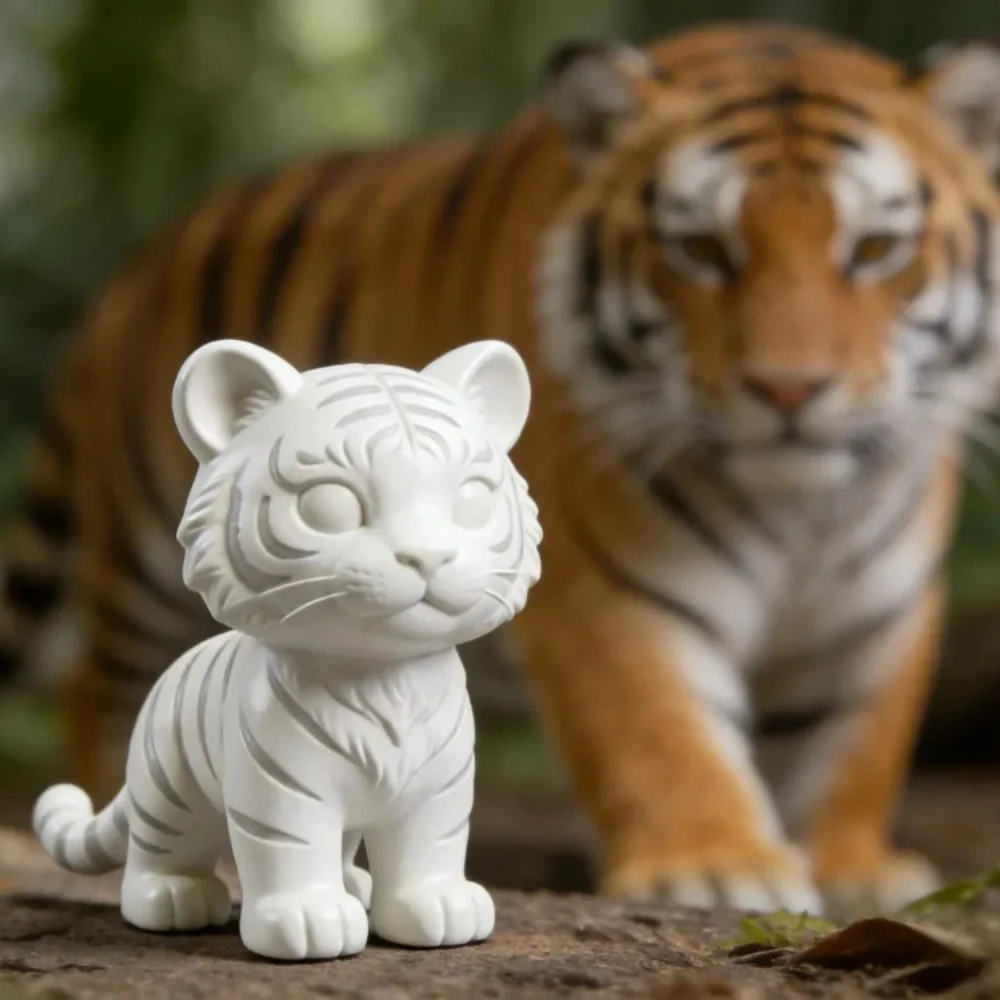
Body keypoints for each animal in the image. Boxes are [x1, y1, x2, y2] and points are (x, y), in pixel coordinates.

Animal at [4, 20, 1000, 915]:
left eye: (875, 249)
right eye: (702, 251)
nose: (790, 389)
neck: (803, 515)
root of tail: (129, 274)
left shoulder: (882, 609)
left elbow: (856, 746)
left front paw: (852, 868)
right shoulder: (610, 592)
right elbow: (660, 728)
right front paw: (717, 865)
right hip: (139, 561)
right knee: (97, 684)